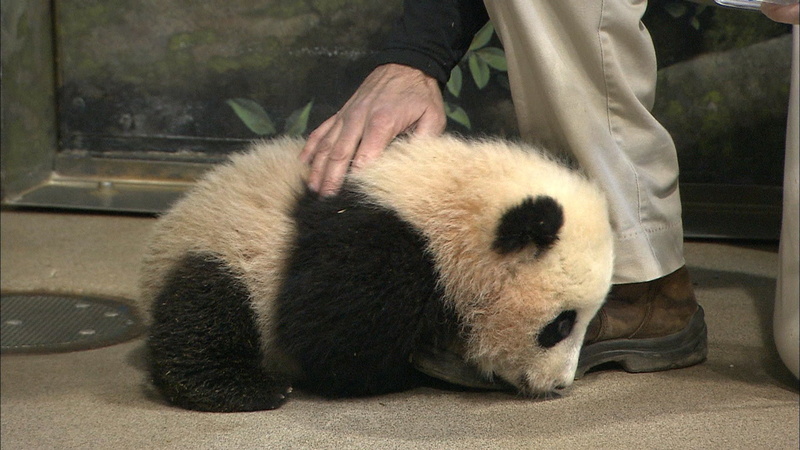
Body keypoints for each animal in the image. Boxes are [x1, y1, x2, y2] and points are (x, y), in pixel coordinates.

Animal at [140, 134, 614, 412]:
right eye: (561, 324)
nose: (559, 385)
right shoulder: (383, 245)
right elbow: (329, 337)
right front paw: (418, 366)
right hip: (232, 247)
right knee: (207, 309)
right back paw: (249, 386)